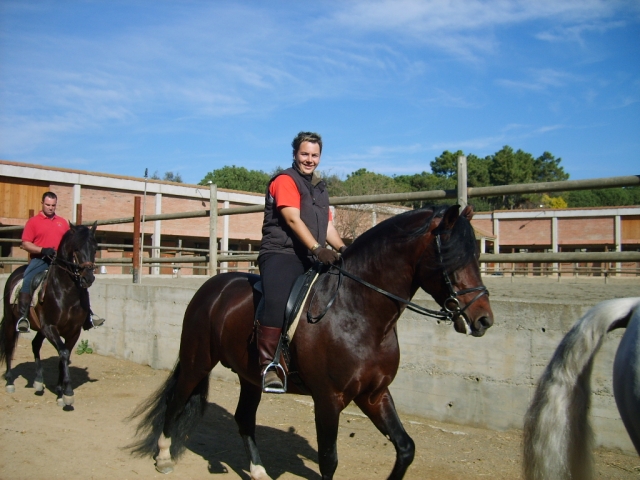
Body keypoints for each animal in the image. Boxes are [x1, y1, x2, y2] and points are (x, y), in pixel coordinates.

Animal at [0, 222, 98, 409]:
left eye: (95, 248)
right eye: (76, 249)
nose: (88, 278)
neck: (66, 292)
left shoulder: (73, 331)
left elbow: (64, 355)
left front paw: (60, 392)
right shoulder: (50, 327)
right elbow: (64, 353)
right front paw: (68, 394)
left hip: (40, 329)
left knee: (35, 344)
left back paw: (38, 382)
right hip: (11, 321)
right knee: (9, 347)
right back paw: (9, 382)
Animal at [128, 204, 494, 479]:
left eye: (477, 256)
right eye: (451, 256)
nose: (484, 320)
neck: (358, 310)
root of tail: (211, 287)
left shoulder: (374, 394)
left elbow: (406, 448)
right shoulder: (328, 399)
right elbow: (329, 460)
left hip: (250, 377)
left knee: (244, 418)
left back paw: (258, 472)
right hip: (197, 362)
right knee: (176, 400)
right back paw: (163, 457)